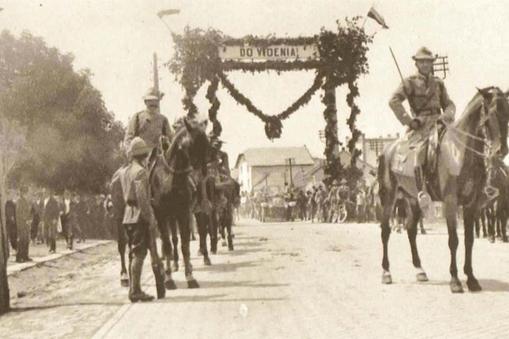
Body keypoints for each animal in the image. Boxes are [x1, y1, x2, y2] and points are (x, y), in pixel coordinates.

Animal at [378, 86, 508, 294]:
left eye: (508, 117)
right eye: (488, 119)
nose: (500, 151)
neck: (459, 152)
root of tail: (387, 149)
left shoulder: (471, 205)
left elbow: (469, 241)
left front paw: (471, 279)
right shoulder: (450, 202)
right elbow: (453, 240)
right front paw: (455, 280)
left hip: (414, 200)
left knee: (411, 230)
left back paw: (420, 270)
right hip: (388, 198)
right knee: (385, 231)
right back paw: (386, 272)